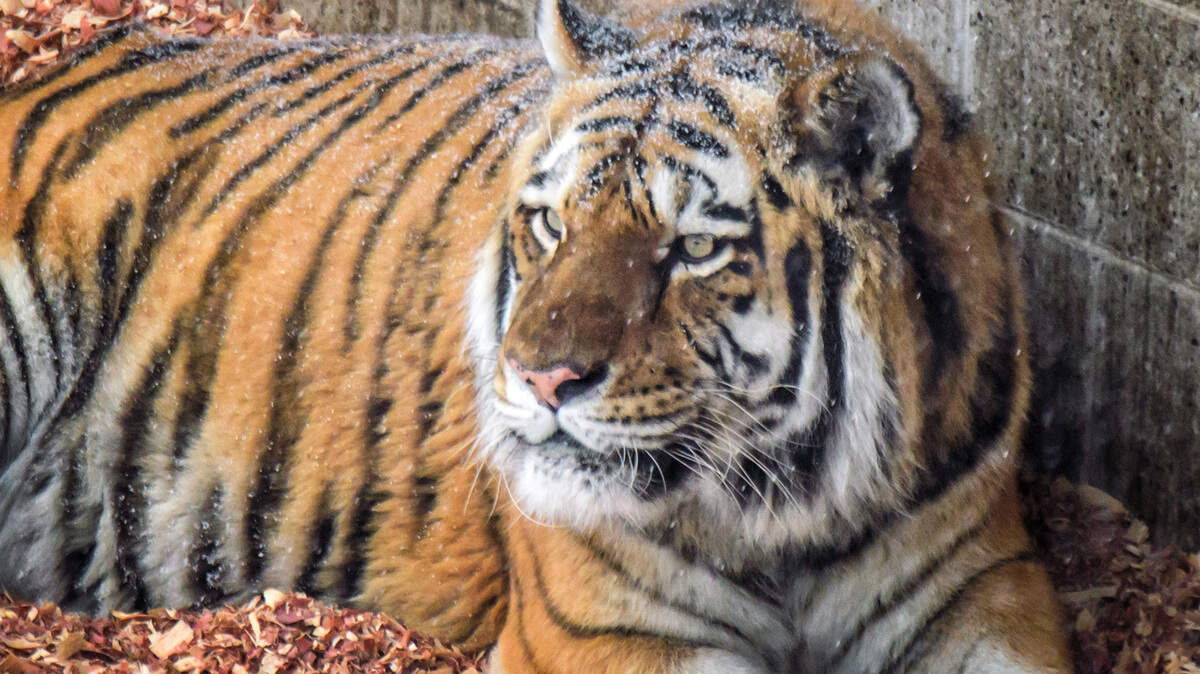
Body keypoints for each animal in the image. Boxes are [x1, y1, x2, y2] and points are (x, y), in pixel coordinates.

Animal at [0, 0, 1071, 670]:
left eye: (691, 248)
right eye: (553, 222)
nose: (540, 379)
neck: (795, 522)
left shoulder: (988, 589)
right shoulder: (610, 635)